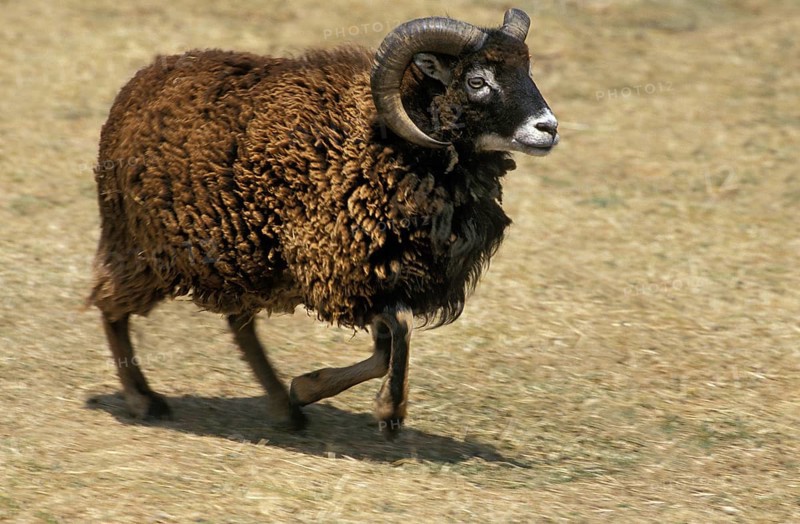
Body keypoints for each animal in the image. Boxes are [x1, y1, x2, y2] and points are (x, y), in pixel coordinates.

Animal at [89, 8, 559, 438]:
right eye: (476, 81)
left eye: (527, 70)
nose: (548, 128)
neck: (391, 142)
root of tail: (141, 82)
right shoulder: (341, 268)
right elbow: (399, 334)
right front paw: (388, 411)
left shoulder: (384, 274)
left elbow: (387, 346)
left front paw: (307, 388)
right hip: (143, 246)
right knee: (110, 305)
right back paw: (142, 400)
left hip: (245, 255)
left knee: (239, 326)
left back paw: (284, 408)